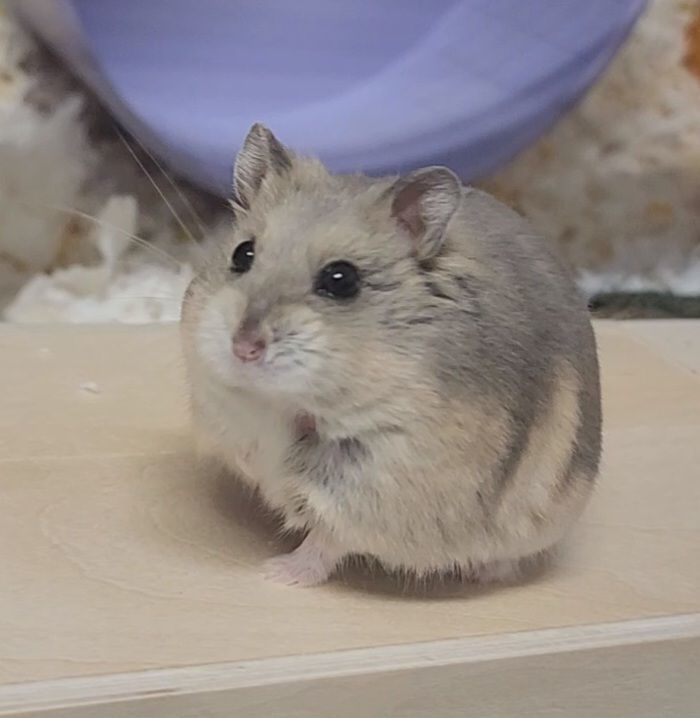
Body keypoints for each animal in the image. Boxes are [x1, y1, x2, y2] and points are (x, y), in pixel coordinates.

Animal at [181, 123, 601, 587]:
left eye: (341, 280)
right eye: (243, 254)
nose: (244, 347)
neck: (281, 401)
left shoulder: (375, 487)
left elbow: (326, 540)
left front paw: (274, 574)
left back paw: (482, 573)